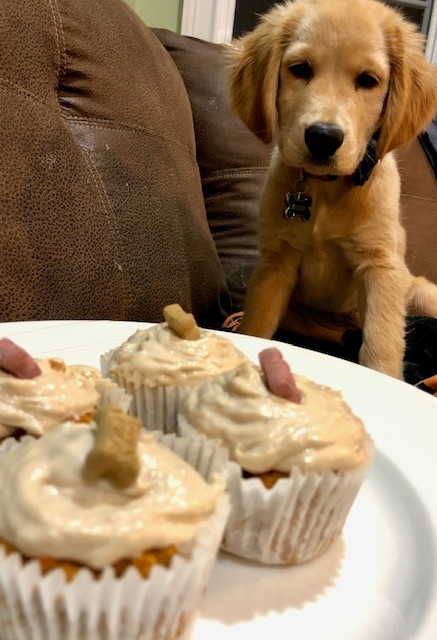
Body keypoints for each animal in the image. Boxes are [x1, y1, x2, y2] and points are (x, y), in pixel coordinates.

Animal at [230, 0, 434, 378]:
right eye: (300, 69)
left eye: (368, 80)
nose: (323, 137)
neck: (325, 190)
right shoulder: (276, 263)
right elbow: (256, 324)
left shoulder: (380, 266)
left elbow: (382, 345)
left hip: (420, 293)